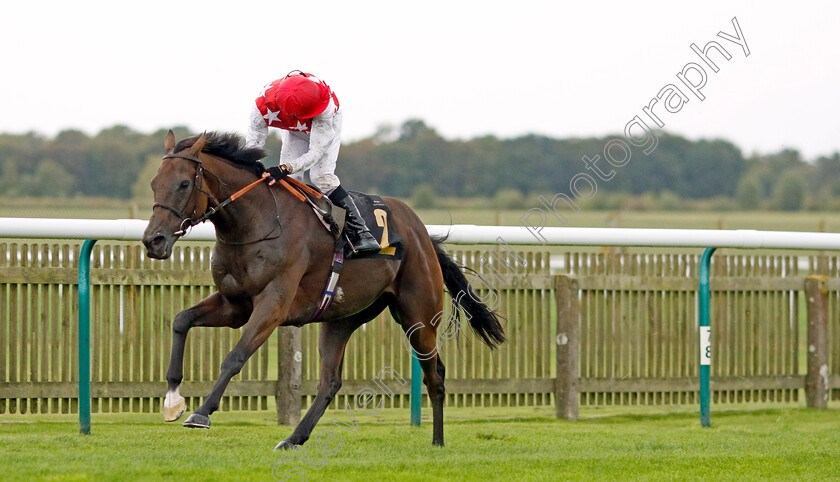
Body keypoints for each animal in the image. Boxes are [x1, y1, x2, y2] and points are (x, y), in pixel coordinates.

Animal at [142, 129, 506, 448]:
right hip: (340, 318)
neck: (258, 221)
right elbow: (181, 320)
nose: (153, 241)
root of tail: (422, 233)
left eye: (184, 183)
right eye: (154, 184)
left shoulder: (273, 305)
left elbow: (235, 357)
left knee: (435, 375)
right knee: (329, 381)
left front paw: (201, 413)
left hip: (419, 315)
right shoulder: (235, 305)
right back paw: (293, 438)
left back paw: (438, 441)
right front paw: (173, 401)